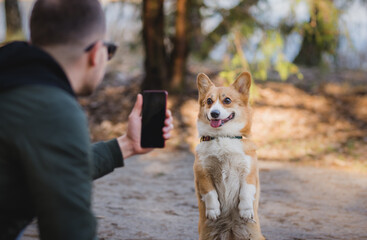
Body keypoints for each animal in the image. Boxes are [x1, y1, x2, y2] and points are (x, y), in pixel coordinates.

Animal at [196, 71, 264, 240]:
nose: (214, 113)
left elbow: (246, 191)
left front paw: (246, 211)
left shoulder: (249, 172)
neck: (223, 137)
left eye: (227, 100)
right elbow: (210, 193)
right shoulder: (202, 172)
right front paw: (213, 211)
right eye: (209, 101)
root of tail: (229, 231)